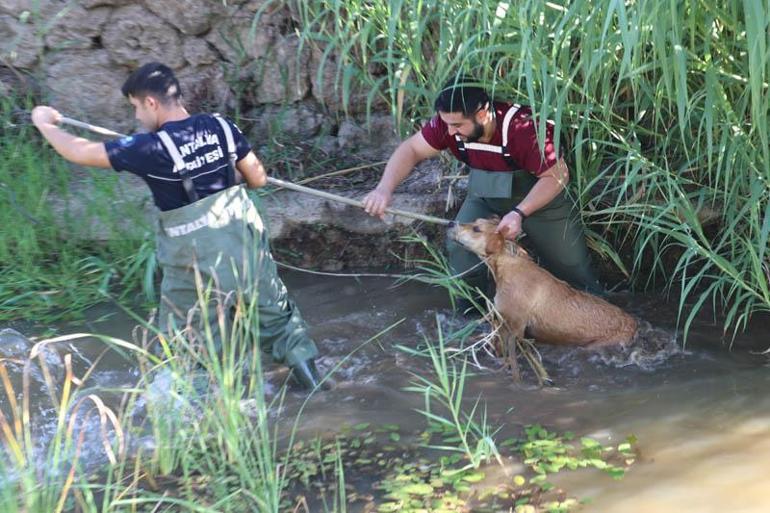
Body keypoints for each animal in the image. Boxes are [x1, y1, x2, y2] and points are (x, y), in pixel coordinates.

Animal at [448, 218, 632, 346]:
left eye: (476, 229)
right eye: (475, 221)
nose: (450, 223)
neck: (510, 266)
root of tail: (633, 324)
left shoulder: (514, 328)